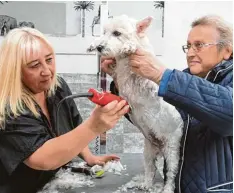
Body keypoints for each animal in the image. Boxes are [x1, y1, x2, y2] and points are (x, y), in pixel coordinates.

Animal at [88, 15, 185, 193]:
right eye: (104, 32)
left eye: (117, 33)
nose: (99, 47)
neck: (123, 60)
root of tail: (160, 148)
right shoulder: (118, 73)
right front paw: (93, 43)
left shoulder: (147, 75)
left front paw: (129, 46)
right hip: (148, 150)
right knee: (151, 169)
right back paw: (146, 184)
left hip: (172, 148)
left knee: (171, 173)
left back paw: (167, 188)